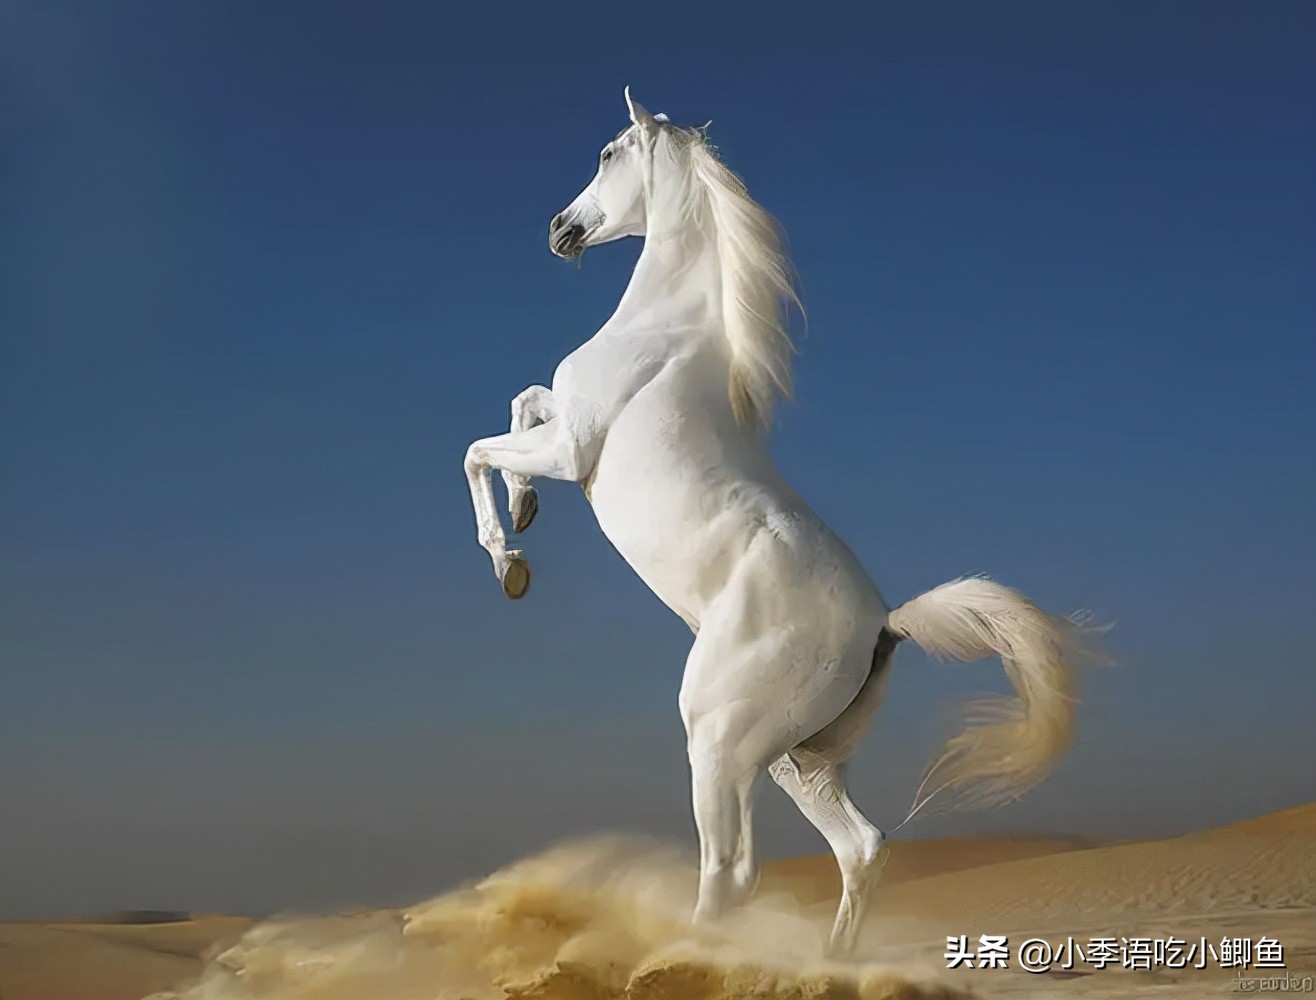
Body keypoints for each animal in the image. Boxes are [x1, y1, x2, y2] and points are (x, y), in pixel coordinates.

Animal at [462, 88, 1103, 958]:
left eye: (607, 152)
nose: (562, 228)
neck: (666, 331)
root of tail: (885, 623)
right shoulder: (561, 427)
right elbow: (523, 401)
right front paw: (525, 511)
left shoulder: (573, 446)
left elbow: (479, 448)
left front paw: (510, 560)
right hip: (793, 759)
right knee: (860, 848)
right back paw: (829, 961)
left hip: (719, 741)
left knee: (734, 872)